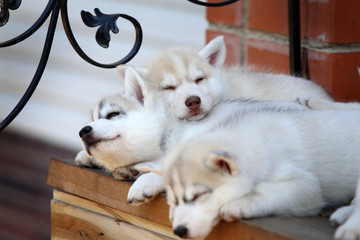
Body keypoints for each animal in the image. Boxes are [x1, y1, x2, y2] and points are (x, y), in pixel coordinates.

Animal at [139, 109, 358, 240]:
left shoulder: (306, 187)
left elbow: (264, 190)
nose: (178, 231)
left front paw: (239, 205)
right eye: (173, 201)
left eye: (199, 196)